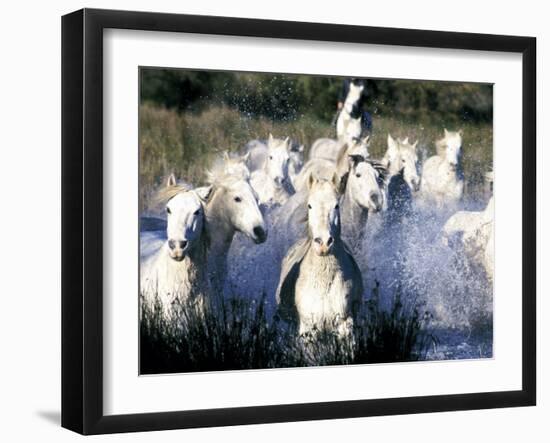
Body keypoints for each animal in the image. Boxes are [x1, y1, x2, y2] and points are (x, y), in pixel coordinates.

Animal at [276, 173, 366, 336]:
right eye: (309, 205)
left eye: (336, 205)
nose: (323, 243)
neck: (324, 280)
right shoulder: (308, 327)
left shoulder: (345, 323)